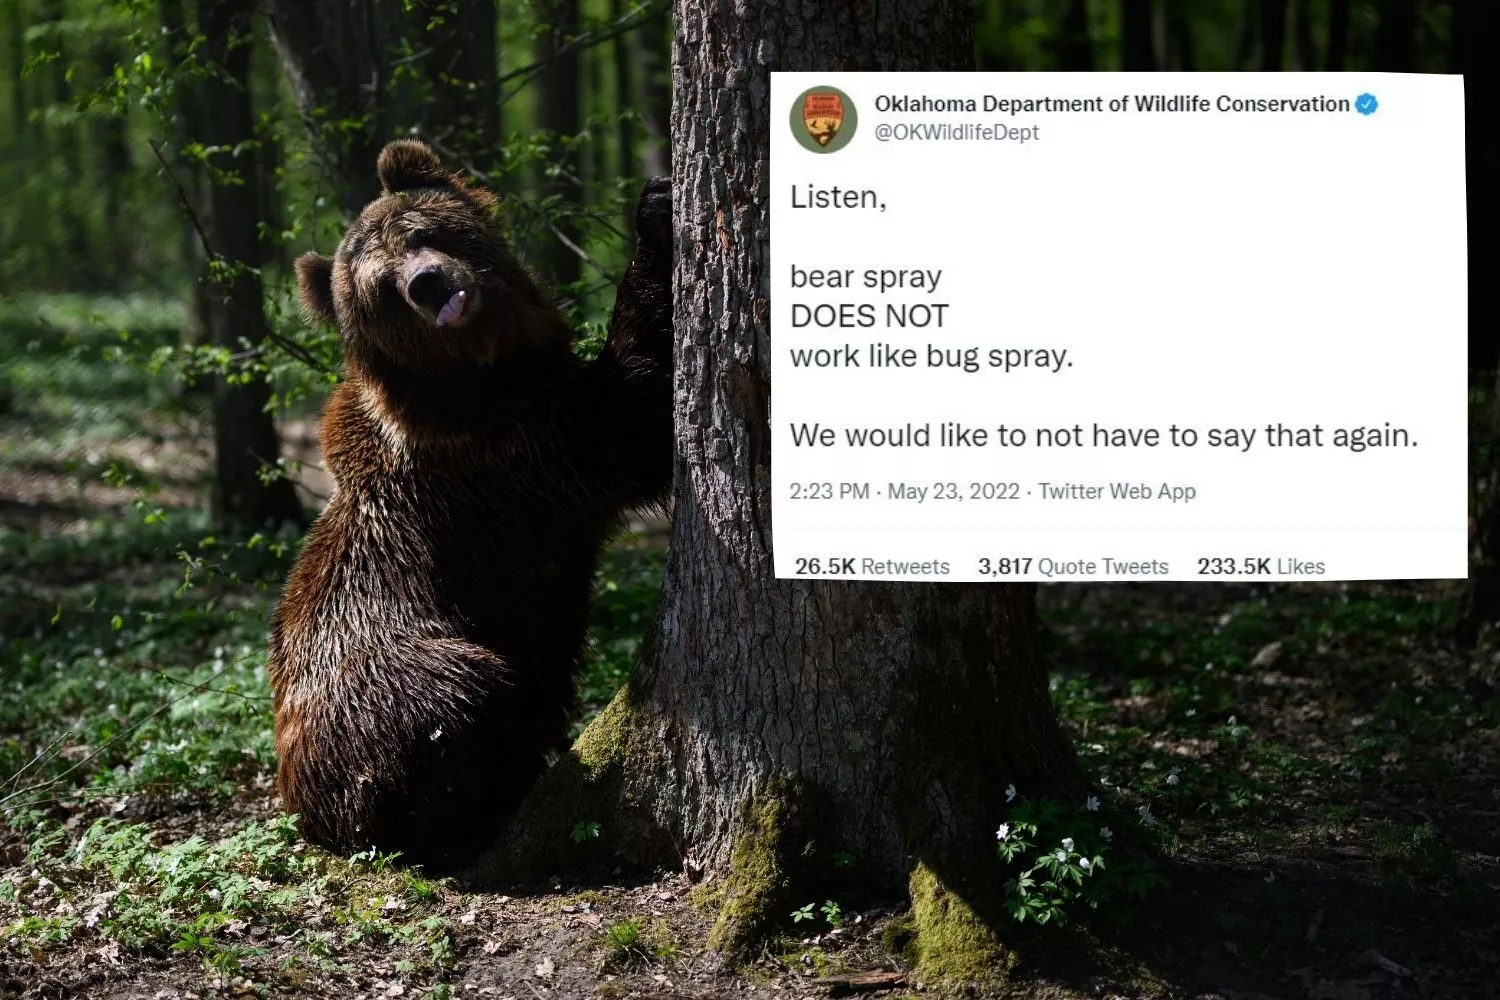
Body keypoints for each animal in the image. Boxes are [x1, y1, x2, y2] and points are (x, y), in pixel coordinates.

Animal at [267, 138, 674, 874]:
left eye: (421, 231)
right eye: (379, 287)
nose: (428, 283)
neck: (484, 369)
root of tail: (303, 810)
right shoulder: (513, 452)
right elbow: (631, 422)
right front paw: (655, 216)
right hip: (384, 683)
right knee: (462, 696)